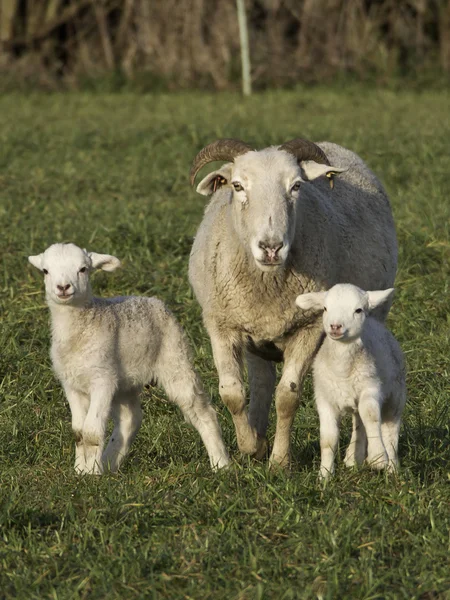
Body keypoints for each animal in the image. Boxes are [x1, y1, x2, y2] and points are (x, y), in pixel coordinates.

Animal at [28, 243, 230, 474]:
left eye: (83, 269)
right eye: (45, 271)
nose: (63, 287)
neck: (79, 331)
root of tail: (153, 300)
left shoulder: (102, 379)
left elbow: (91, 432)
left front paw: (91, 474)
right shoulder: (71, 384)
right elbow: (78, 432)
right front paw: (80, 471)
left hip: (175, 357)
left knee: (202, 411)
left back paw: (221, 464)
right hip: (125, 381)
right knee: (130, 419)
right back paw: (110, 463)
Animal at [189, 138, 398, 466]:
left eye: (296, 186)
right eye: (237, 186)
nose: (271, 247)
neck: (267, 284)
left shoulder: (309, 327)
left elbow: (287, 396)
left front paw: (279, 461)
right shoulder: (221, 324)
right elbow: (232, 393)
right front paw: (249, 446)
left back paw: (353, 456)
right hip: (255, 337)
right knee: (261, 382)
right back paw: (258, 435)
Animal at [296, 284, 408, 480]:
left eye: (358, 310)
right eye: (325, 308)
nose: (335, 326)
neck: (342, 370)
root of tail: (376, 324)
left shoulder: (370, 388)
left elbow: (371, 417)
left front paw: (378, 458)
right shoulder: (324, 399)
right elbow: (328, 439)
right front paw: (324, 475)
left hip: (396, 395)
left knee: (390, 430)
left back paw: (392, 468)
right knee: (359, 423)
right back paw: (352, 459)